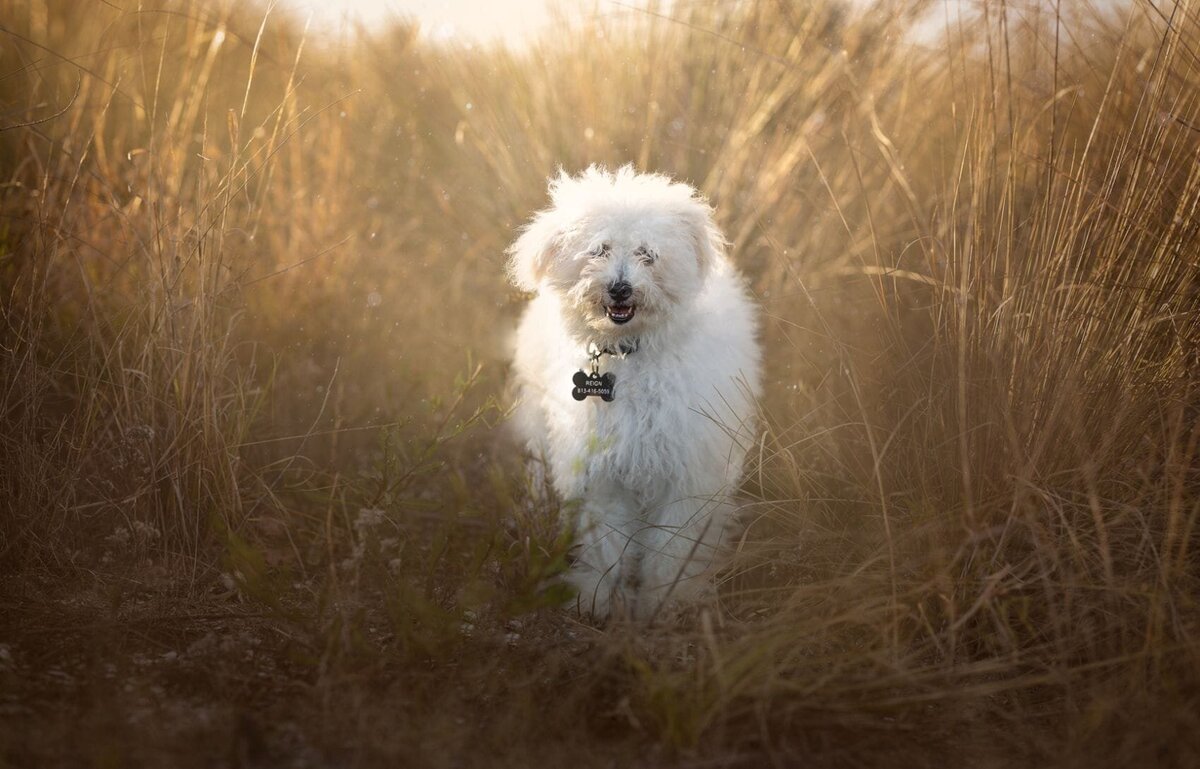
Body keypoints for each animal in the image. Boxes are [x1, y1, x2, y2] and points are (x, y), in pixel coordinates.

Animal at [506, 163, 758, 619]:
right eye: (599, 250)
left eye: (647, 253)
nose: (619, 288)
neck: (630, 352)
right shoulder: (603, 472)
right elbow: (607, 542)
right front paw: (597, 597)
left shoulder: (686, 474)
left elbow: (671, 547)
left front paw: (664, 602)